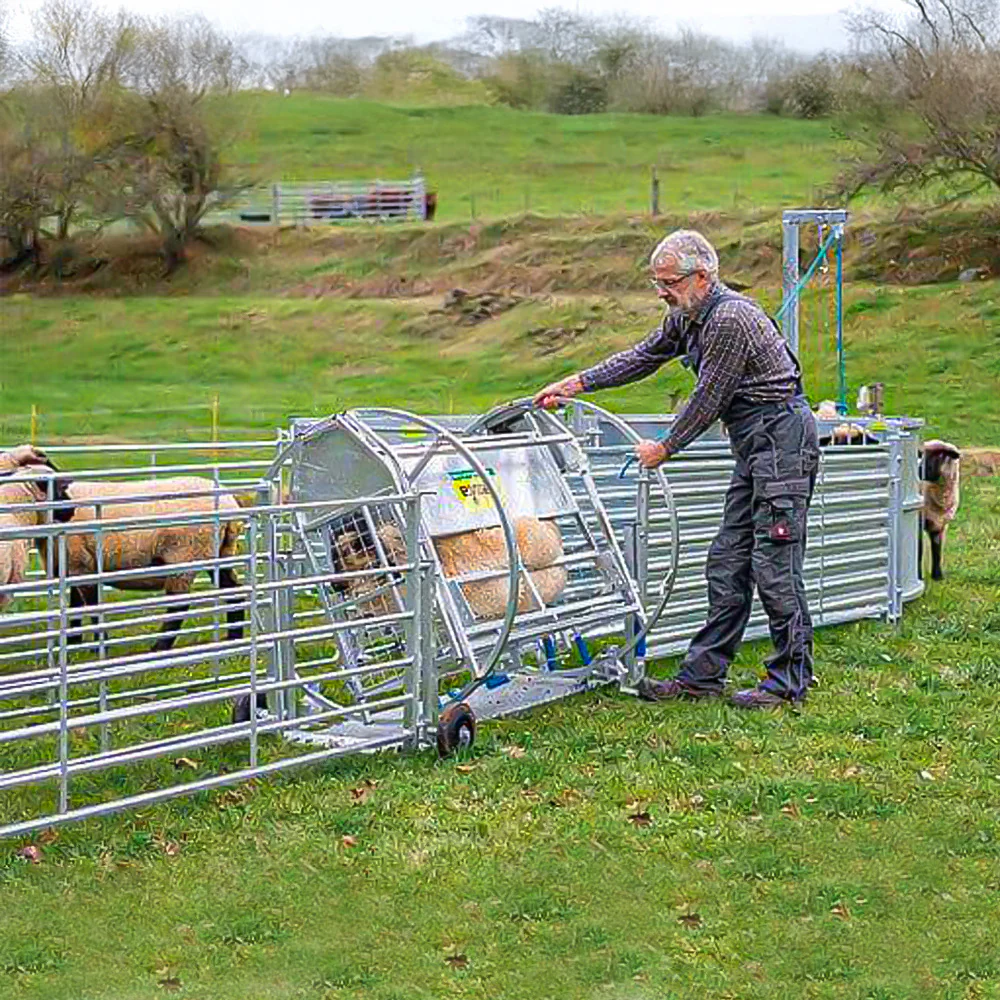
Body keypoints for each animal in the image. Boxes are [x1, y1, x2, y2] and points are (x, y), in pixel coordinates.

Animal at [920, 439, 961, 581]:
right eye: (922, 454)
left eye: (941, 454)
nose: (919, 470)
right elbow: (919, 551)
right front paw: (918, 577)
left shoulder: (941, 524)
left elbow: (937, 549)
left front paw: (938, 576)